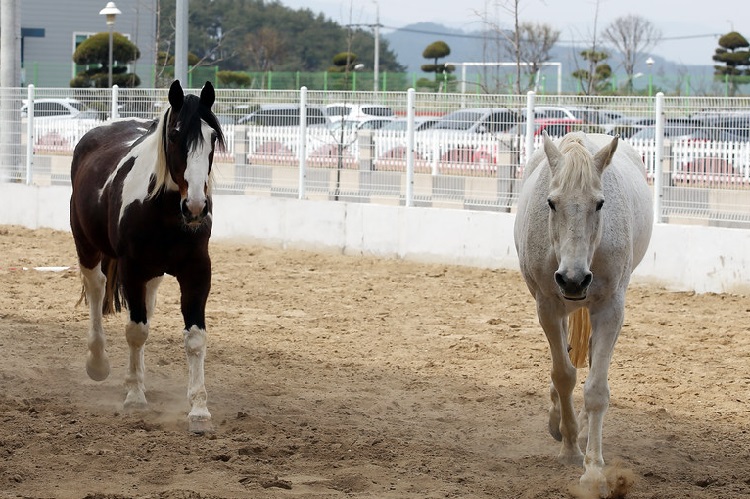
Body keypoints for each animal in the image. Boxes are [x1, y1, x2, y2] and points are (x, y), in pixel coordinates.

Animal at [71, 81, 226, 434]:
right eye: (176, 134)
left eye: (213, 137)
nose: (196, 207)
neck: (166, 211)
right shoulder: (133, 269)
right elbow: (135, 331)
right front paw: (134, 397)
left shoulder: (197, 270)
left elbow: (195, 337)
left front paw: (199, 409)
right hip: (86, 245)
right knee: (97, 290)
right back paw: (98, 363)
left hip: (153, 275)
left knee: (146, 308)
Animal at [516, 131, 656, 494]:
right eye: (551, 202)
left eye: (600, 203)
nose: (574, 279)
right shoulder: (548, 305)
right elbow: (564, 375)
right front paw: (569, 448)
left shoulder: (610, 308)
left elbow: (595, 390)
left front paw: (593, 471)